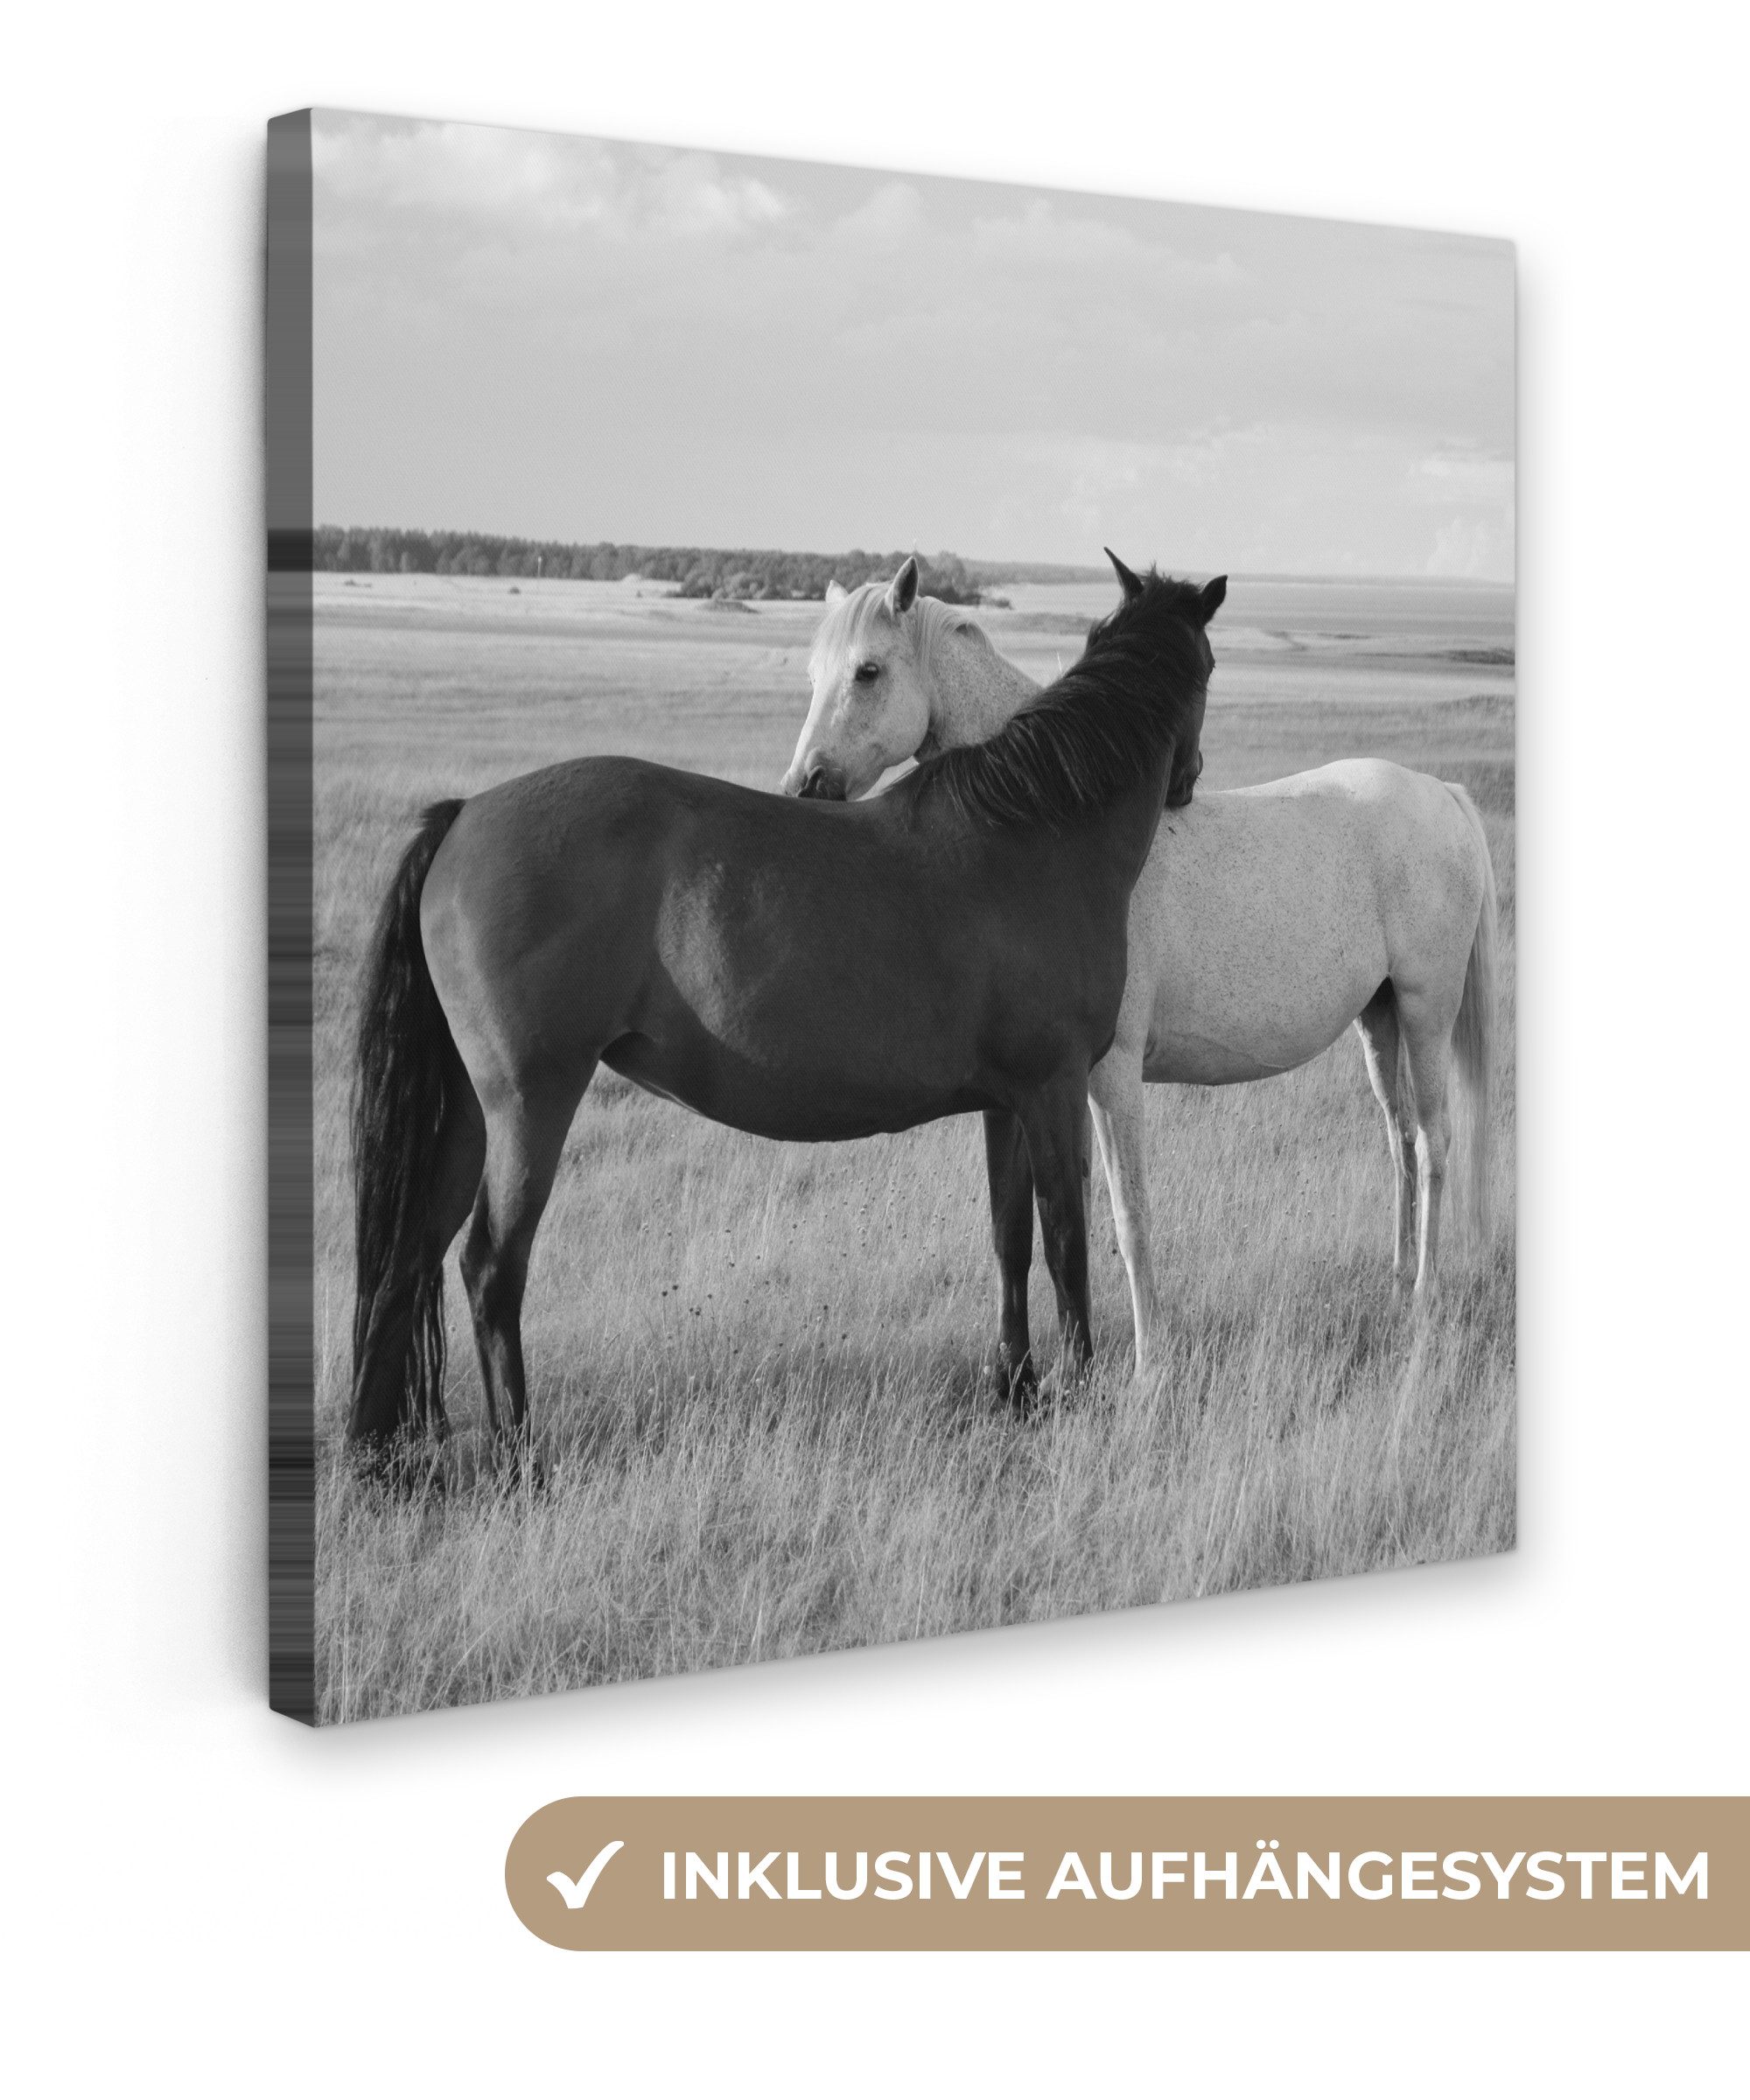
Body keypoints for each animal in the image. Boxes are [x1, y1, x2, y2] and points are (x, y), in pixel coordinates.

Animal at [346, 557, 1216, 1465]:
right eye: (1210, 669)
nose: (1189, 781)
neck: (1037, 830)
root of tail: (464, 816)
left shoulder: (1007, 1101)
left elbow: (1009, 1236)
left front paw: (1018, 1389)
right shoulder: (1053, 1090)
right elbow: (1065, 1241)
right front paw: (1079, 1389)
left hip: (465, 1114)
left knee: (408, 1256)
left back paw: (380, 1460)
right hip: (530, 1104)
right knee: (490, 1265)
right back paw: (520, 1460)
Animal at [784, 553, 1499, 1383]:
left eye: (867, 671)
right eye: (814, 673)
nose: (804, 786)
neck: (1059, 825)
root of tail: (1441, 793)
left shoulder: (1110, 1074)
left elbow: (1126, 1216)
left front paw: (1149, 1363)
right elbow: (1044, 1220)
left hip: (1426, 1009)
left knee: (1433, 1142)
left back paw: (1423, 1300)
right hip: (1378, 1019)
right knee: (1398, 1141)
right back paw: (1394, 1283)